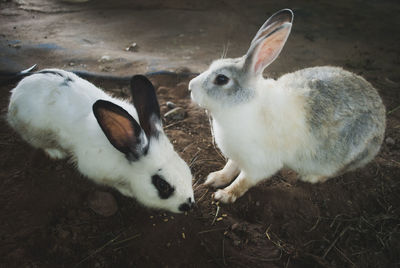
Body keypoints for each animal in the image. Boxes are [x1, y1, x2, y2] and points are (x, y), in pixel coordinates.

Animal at [5, 70, 194, 213]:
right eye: (162, 185)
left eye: (186, 168)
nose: (189, 204)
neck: (125, 155)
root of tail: (17, 91)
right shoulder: (95, 170)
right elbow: (112, 183)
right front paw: (127, 191)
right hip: (35, 131)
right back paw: (56, 152)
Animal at [189, 9, 386, 204]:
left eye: (222, 79)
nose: (191, 86)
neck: (243, 105)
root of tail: (381, 115)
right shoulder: (238, 156)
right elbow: (230, 167)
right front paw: (215, 178)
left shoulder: (259, 164)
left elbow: (243, 181)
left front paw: (224, 195)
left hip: (342, 155)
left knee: (334, 170)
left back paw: (311, 177)